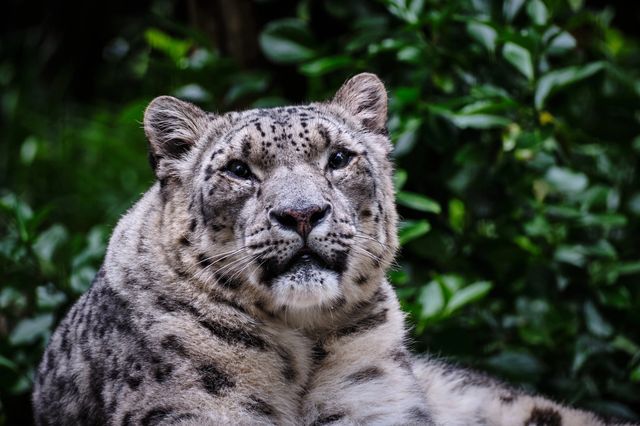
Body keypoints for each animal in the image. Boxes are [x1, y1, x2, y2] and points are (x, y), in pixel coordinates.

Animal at [31, 74, 636, 426]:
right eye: (238, 170)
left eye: (339, 158)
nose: (301, 213)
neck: (302, 349)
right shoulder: (193, 409)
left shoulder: (376, 402)